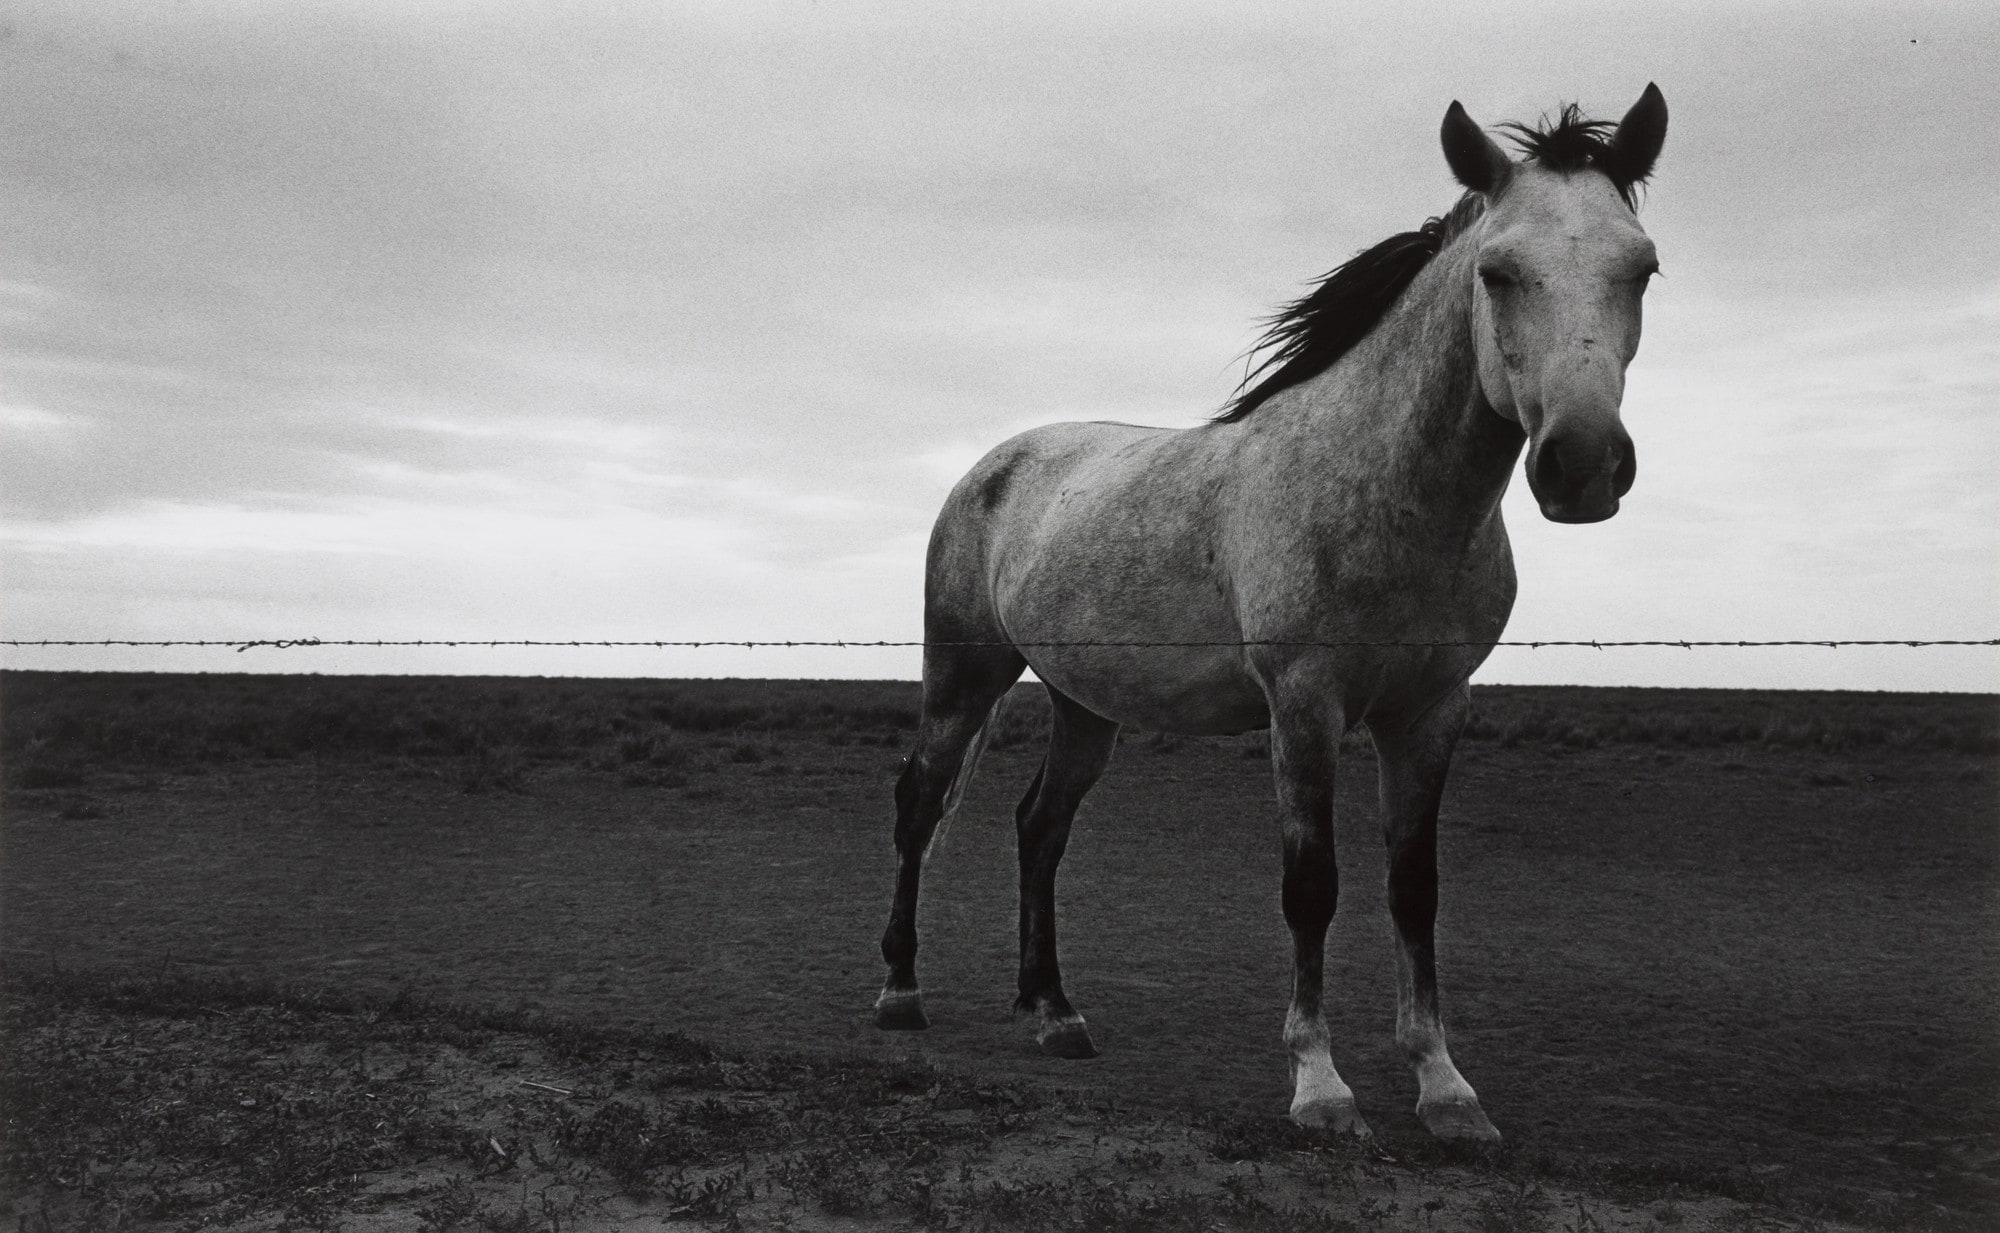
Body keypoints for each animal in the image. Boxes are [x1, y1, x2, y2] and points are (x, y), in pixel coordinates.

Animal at [873, 86, 1669, 1143]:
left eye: (1641, 268)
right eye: (1498, 273)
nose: (1583, 465)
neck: (1390, 498)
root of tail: (993, 466)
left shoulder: (1432, 711)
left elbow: (1414, 889)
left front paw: (1445, 1088)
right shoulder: (1305, 705)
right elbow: (1312, 886)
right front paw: (1321, 1088)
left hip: (1085, 705)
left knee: (1040, 827)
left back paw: (1054, 1012)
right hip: (965, 675)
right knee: (921, 804)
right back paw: (900, 991)